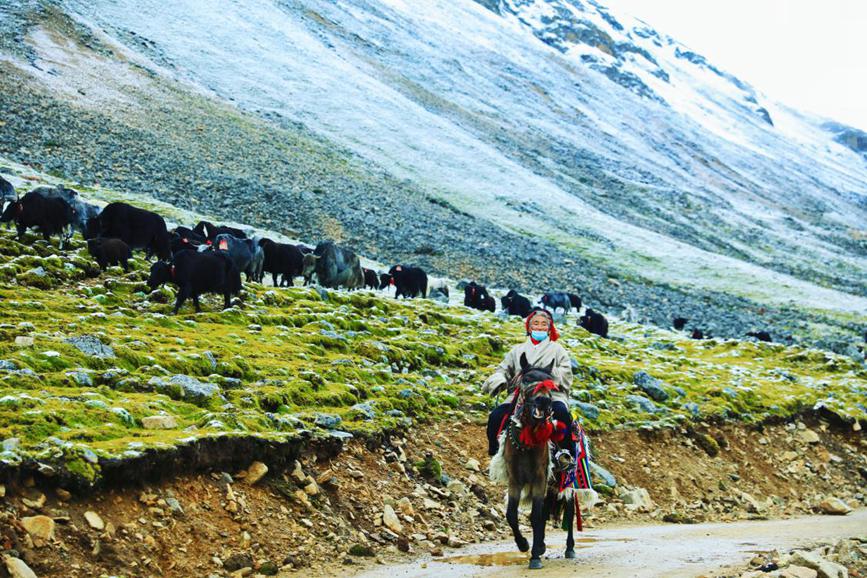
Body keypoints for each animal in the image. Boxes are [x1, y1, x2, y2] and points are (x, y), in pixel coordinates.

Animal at [488, 354, 588, 568]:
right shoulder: (515, 480)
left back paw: (569, 548)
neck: (527, 442)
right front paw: (525, 545)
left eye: (551, 383)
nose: (543, 400)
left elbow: (535, 515)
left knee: (569, 510)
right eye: (526, 379)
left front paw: (534, 557)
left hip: (567, 480)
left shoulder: (539, 478)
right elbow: (512, 514)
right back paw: (541, 545)